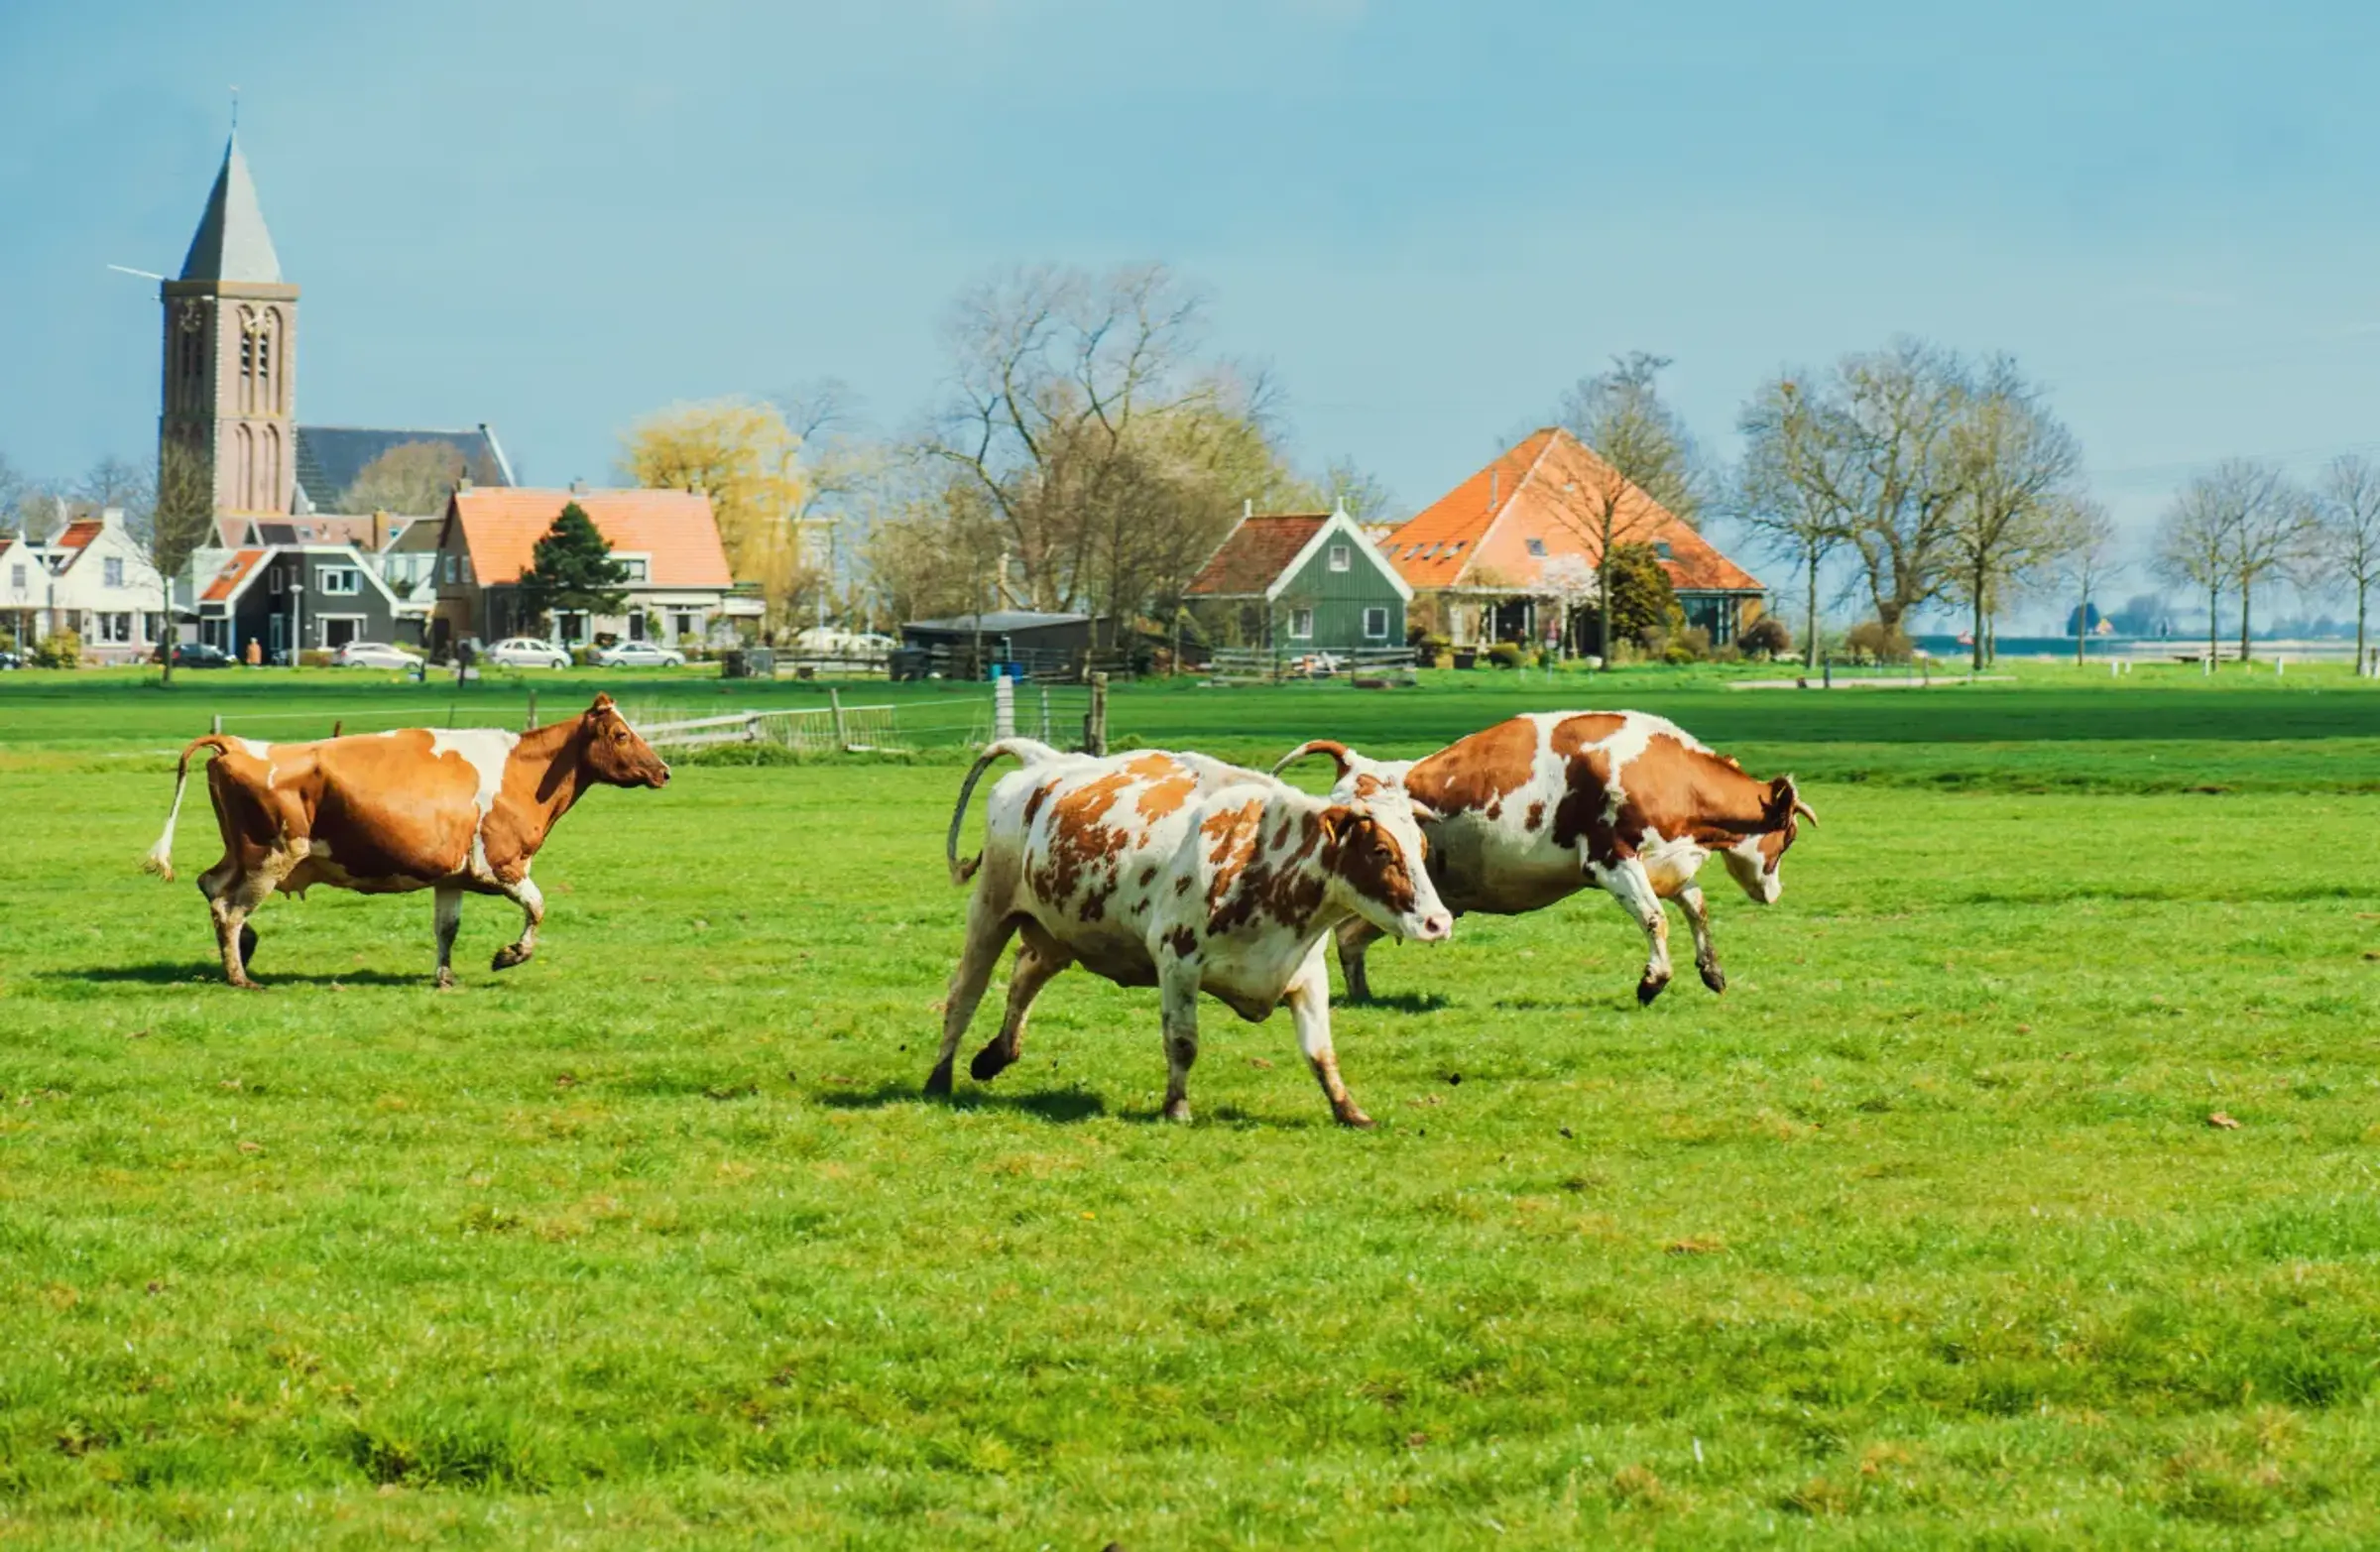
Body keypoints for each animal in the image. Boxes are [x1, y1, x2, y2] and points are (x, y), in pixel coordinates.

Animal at [142, 694, 670, 988]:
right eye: (621, 734)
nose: (664, 771)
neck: (522, 773)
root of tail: (236, 743)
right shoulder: (501, 865)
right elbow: (538, 908)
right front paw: (509, 956)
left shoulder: (452, 877)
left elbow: (446, 929)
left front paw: (445, 977)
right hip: (270, 855)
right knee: (228, 908)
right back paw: (240, 977)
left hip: (242, 854)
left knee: (211, 887)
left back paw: (243, 951)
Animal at [930, 739, 1452, 1126]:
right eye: (1382, 850)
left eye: (1422, 846)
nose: (1438, 922)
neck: (1264, 855)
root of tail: (1042, 760)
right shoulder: (1177, 963)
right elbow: (1182, 1041)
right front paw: (1177, 1107)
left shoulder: (1305, 975)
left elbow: (1320, 1052)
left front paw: (1349, 1111)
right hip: (990, 911)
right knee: (964, 994)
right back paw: (939, 1077)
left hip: (1058, 930)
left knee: (1025, 975)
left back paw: (996, 1056)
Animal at [1276, 711, 1816, 1006]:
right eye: (1788, 838)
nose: (1777, 892)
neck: (1664, 772)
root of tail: (1358, 764)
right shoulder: (1612, 860)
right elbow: (1655, 919)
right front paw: (1652, 981)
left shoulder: (1666, 866)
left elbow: (1697, 909)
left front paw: (1712, 971)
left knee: (1350, 938)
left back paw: (1365, 997)